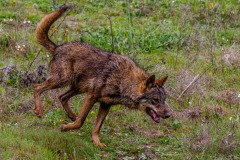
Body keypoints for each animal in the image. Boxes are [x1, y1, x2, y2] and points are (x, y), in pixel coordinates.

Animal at [34, 4, 171, 146]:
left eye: (164, 100)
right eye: (155, 100)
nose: (168, 115)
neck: (123, 81)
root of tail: (58, 47)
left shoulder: (105, 105)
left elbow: (97, 127)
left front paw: (97, 143)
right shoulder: (91, 97)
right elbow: (80, 121)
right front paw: (65, 127)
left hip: (78, 88)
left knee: (61, 97)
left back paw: (71, 115)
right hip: (62, 81)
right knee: (37, 87)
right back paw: (39, 111)